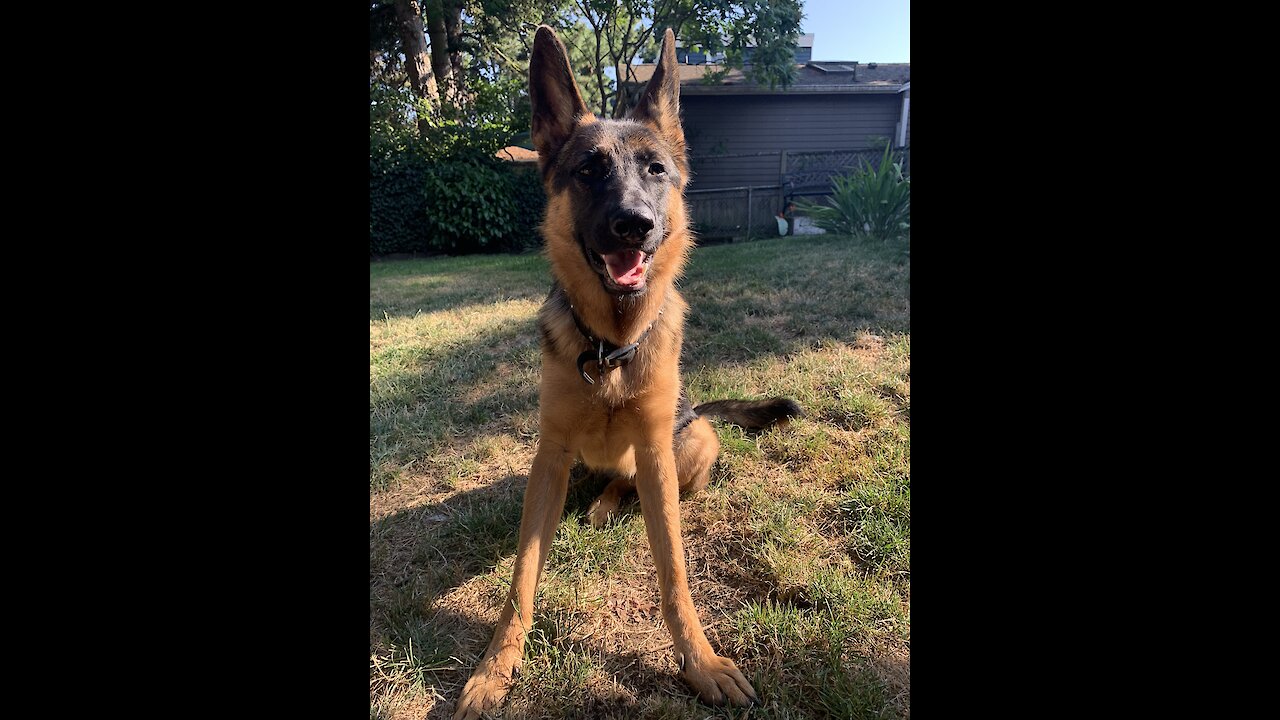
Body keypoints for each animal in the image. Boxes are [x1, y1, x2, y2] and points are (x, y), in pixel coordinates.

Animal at [453, 25, 798, 712]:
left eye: (655, 170)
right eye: (589, 170)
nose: (633, 225)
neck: (611, 349)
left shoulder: (656, 452)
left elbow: (674, 573)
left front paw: (700, 661)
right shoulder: (550, 456)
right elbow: (521, 578)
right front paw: (495, 666)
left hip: (693, 439)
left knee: (633, 482)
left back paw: (612, 503)